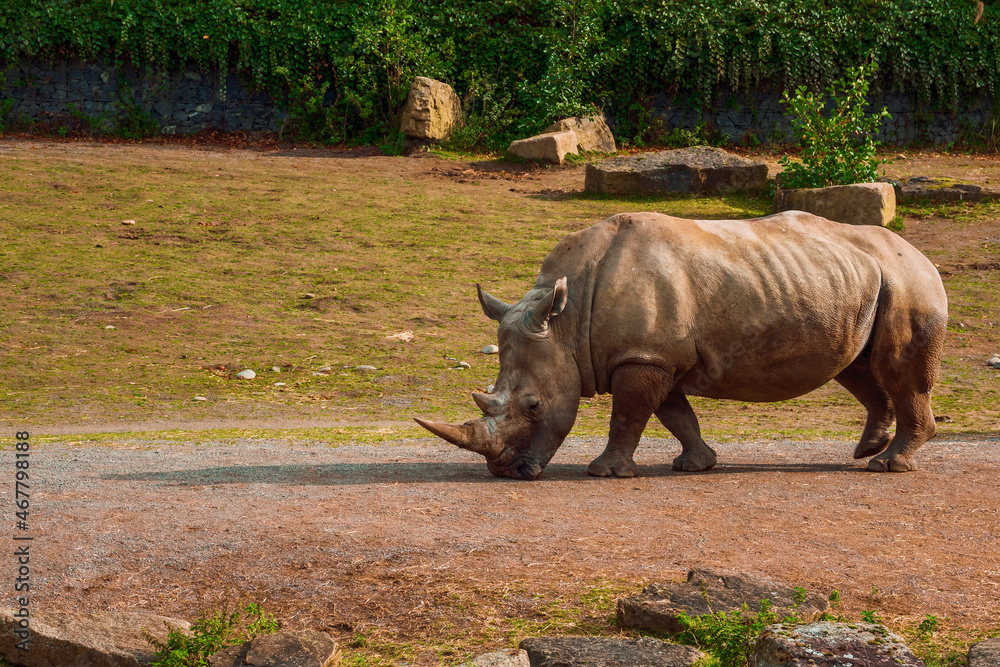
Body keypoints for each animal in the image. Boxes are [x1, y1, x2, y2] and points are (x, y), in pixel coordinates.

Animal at [416, 211, 947, 480]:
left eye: (532, 405)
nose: (506, 471)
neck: (566, 321)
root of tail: (922, 254)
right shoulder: (656, 355)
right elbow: (674, 413)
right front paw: (695, 465)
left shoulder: (643, 357)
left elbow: (628, 415)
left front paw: (605, 473)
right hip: (863, 284)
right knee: (857, 367)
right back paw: (867, 449)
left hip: (909, 283)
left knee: (896, 371)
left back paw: (888, 465)